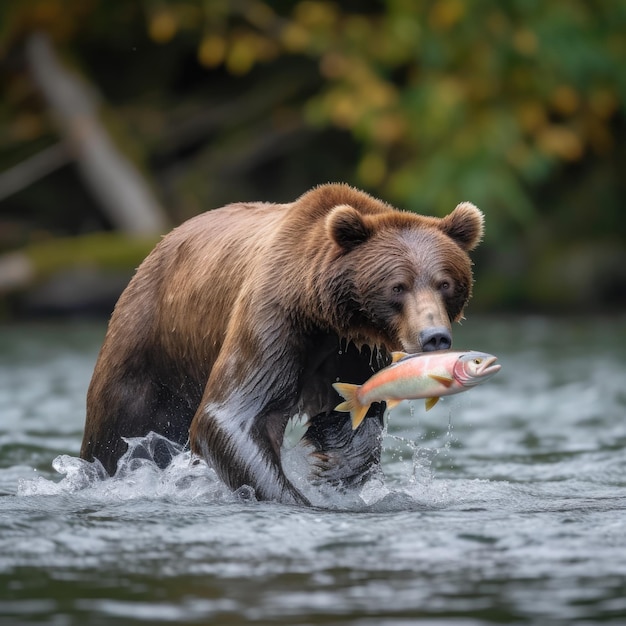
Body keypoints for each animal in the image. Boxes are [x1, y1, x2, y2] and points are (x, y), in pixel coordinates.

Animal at [81, 183, 482, 504]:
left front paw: (333, 471)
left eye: (445, 283)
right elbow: (233, 415)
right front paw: (296, 497)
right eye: (398, 286)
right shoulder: (275, 320)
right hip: (149, 345)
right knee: (116, 433)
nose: (434, 336)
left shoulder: (358, 349)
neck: (323, 313)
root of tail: (157, 247)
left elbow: (350, 416)